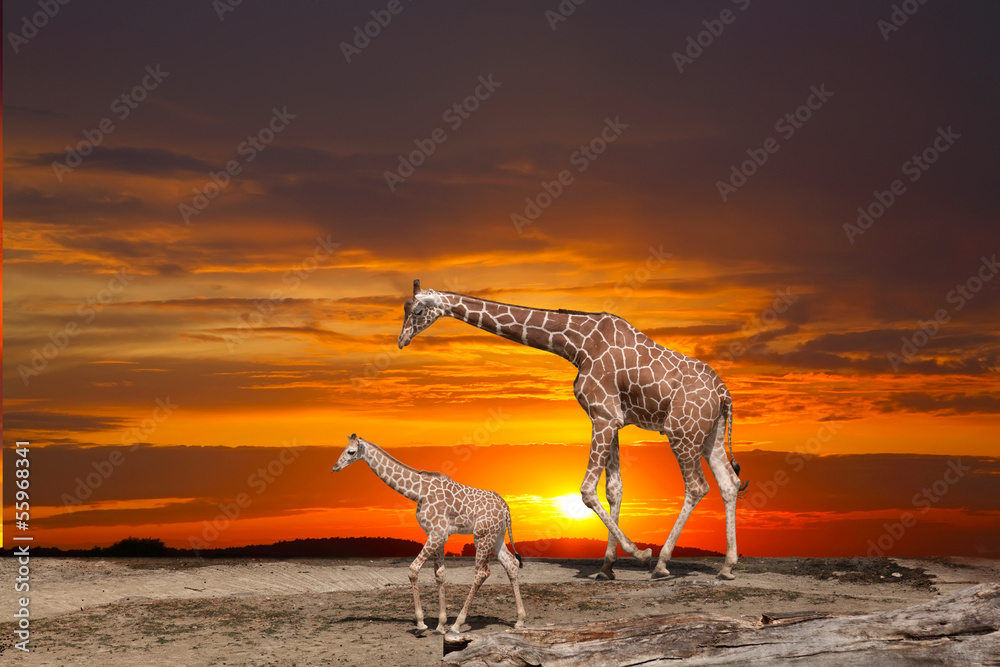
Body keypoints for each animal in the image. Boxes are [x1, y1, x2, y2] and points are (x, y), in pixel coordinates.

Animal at [331, 433, 526, 633]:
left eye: (351, 451)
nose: (335, 467)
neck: (419, 493)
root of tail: (506, 508)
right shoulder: (437, 534)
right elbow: (439, 574)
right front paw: (440, 625)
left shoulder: (438, 533)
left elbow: (413, 570)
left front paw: (421, 623)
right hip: (496, 535)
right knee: (511, 563)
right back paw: (519, 620)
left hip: (482, 535)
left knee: (482, 572)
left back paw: (458, 624)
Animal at [397, 281, 748, 580]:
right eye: (405, 308)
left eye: (417, 311)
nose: (401, 341)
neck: (577, 344)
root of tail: (724, 394)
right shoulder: (611, 419)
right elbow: (614, 489)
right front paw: (607, 567)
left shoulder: (603, 415)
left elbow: (588, 490)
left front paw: (640, 554)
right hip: (711, 434)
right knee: (729, 484)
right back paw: (727, 567)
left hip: (682, 432)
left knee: (697, 486)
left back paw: (662, 563)